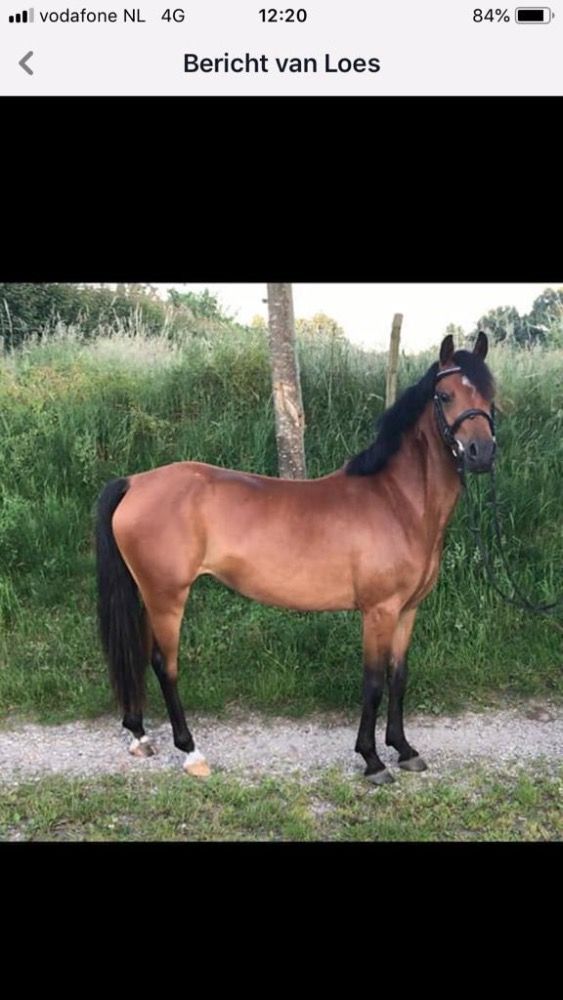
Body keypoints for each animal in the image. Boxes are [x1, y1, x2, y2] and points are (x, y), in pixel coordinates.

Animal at [95, 332, 496, 784]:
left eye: (490, 394)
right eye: (444, 395)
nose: (481, 452)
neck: (398, 502)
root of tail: (135, 482)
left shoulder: (407, 610)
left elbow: (398, 677)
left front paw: (404, 749)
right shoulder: (379, 611)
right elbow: (373, 683)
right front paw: (372, 760)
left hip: (149, 594)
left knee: (143, 654)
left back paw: (140, 736)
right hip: (167, 596)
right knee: (166, 664)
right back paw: (191, 751)